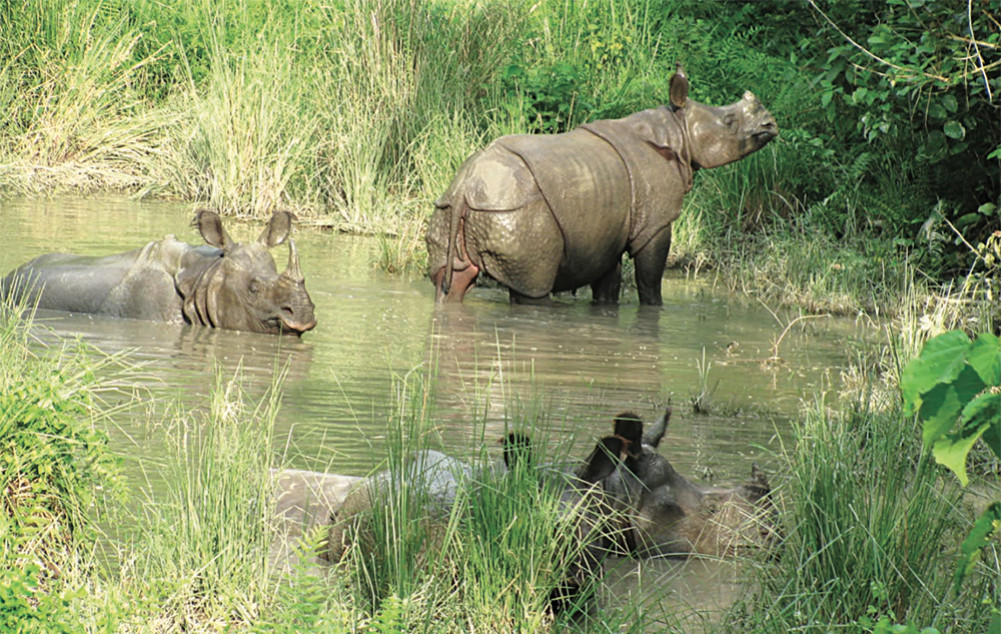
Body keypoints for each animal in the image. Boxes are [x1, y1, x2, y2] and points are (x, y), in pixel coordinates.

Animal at [426, 65, 776, 302]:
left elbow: (608, 287)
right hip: (516, 211)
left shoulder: (606, 231)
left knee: (452, 280)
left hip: (454, 206)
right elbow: (650, 279)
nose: (771, 124)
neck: (678, 131)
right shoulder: (654, 222)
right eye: (729, 122)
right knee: (532, 290)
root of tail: (467, 188)